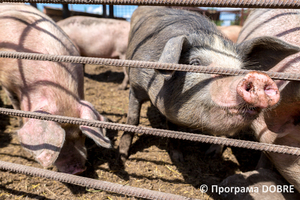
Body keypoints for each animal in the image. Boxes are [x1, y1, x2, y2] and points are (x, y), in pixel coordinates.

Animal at [118, 6, 298, 166]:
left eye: (241, 69)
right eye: (195, 63)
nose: (258, 78)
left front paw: (203, 156)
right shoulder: (136, 86)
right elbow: (133, 120)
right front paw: (123, 157)